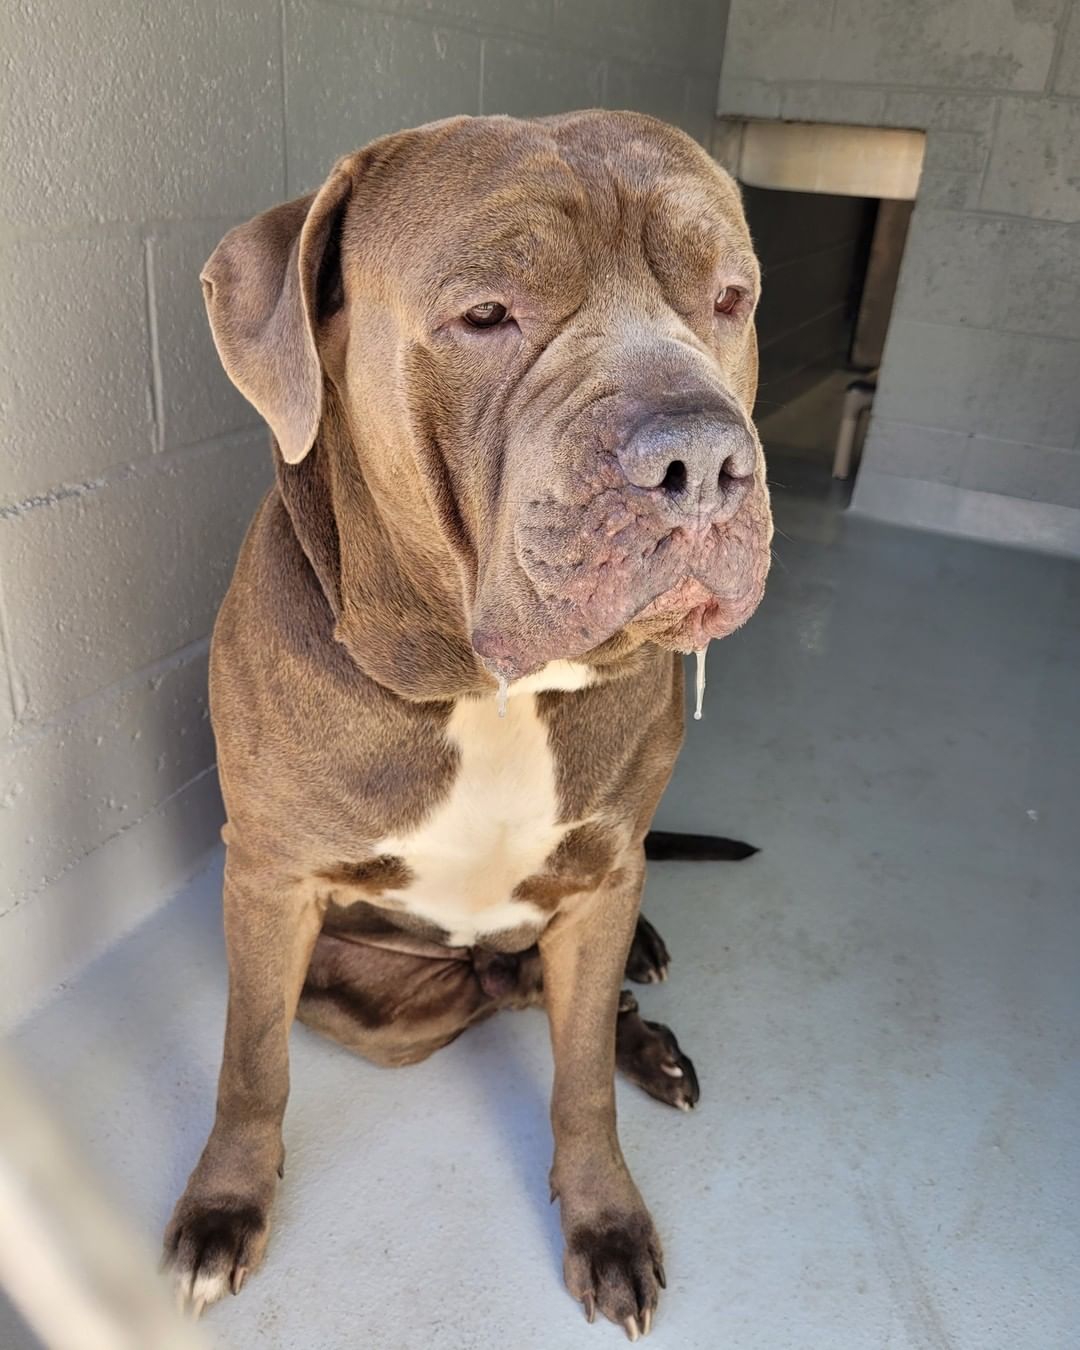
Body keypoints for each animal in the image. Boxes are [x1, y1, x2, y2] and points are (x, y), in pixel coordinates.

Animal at [162, 110, 766, 1333]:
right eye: (486, 314)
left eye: (730, 296)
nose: (701, 458)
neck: (489, 688)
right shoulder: (268, 882)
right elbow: (250, 1066)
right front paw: (226, 1208)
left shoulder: (602, 875)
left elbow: (578, 1084)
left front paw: (606, 1216)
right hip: (373, 997)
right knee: (494, 990)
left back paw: (646, 1027)